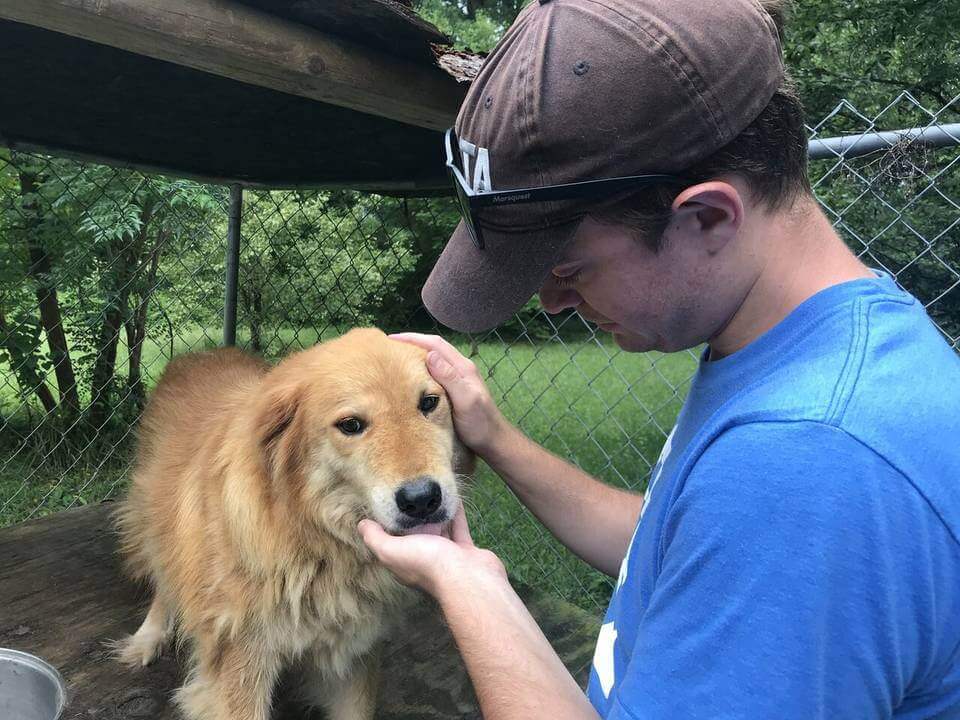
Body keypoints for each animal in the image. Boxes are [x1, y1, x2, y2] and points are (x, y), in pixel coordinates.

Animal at [113, 330, 472, 716]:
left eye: (429, 403)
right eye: (351, 425)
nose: (422, 500)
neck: (317, 542)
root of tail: (203, 353)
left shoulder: (354, 652)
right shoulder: (238, 666)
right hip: (156, 520)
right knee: (163, 579)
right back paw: (148, 636)